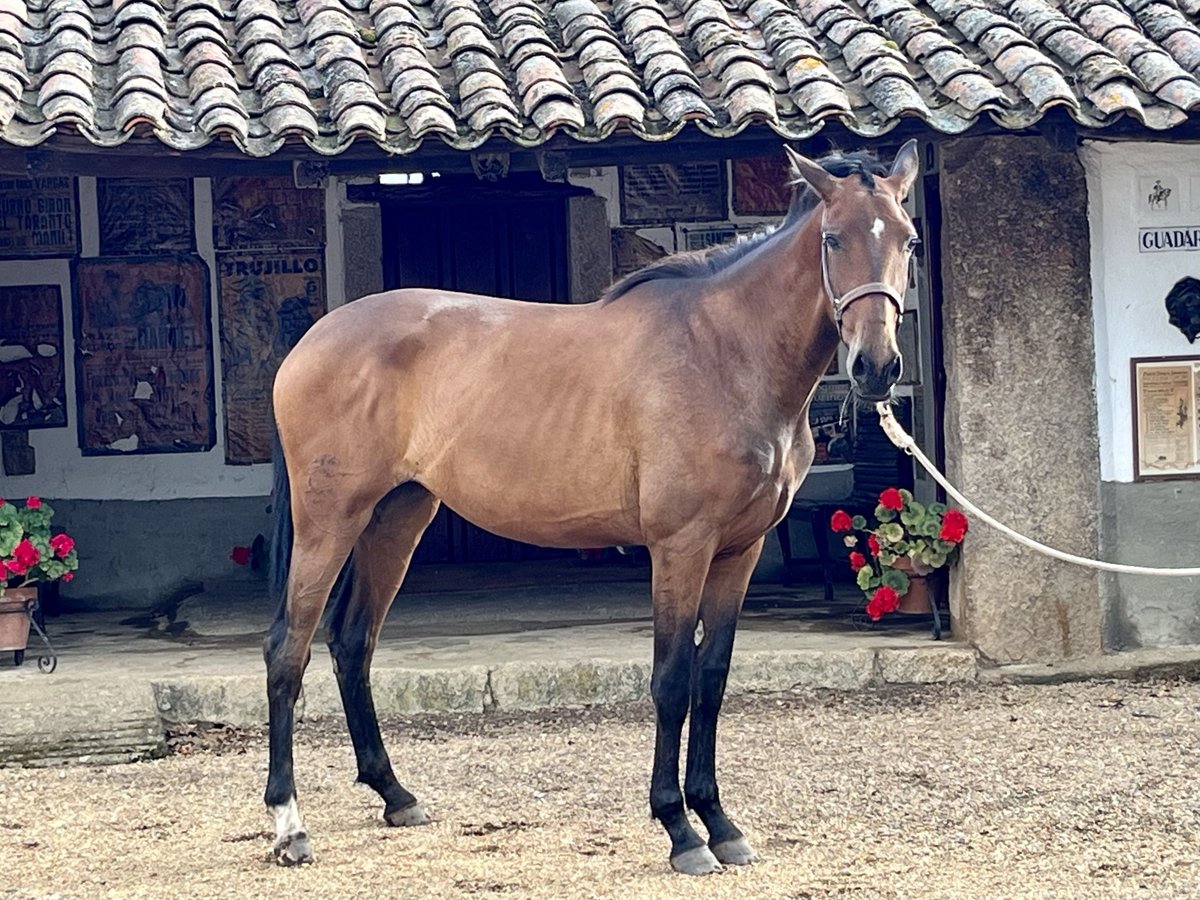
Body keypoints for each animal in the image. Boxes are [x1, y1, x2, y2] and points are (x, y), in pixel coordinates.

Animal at [262, 139, 916, 873]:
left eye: (909, 241)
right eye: (833, 238)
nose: (877, 368)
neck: (724, 353)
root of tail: (311, 341)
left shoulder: (740, 551)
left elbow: (712, 679)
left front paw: (720, 823)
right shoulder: (680, 547)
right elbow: (671, 680)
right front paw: (681, 831)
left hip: (397, 516)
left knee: (353, 643)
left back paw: (395, 795)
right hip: (330, 521)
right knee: (288, 651)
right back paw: (290, 826)